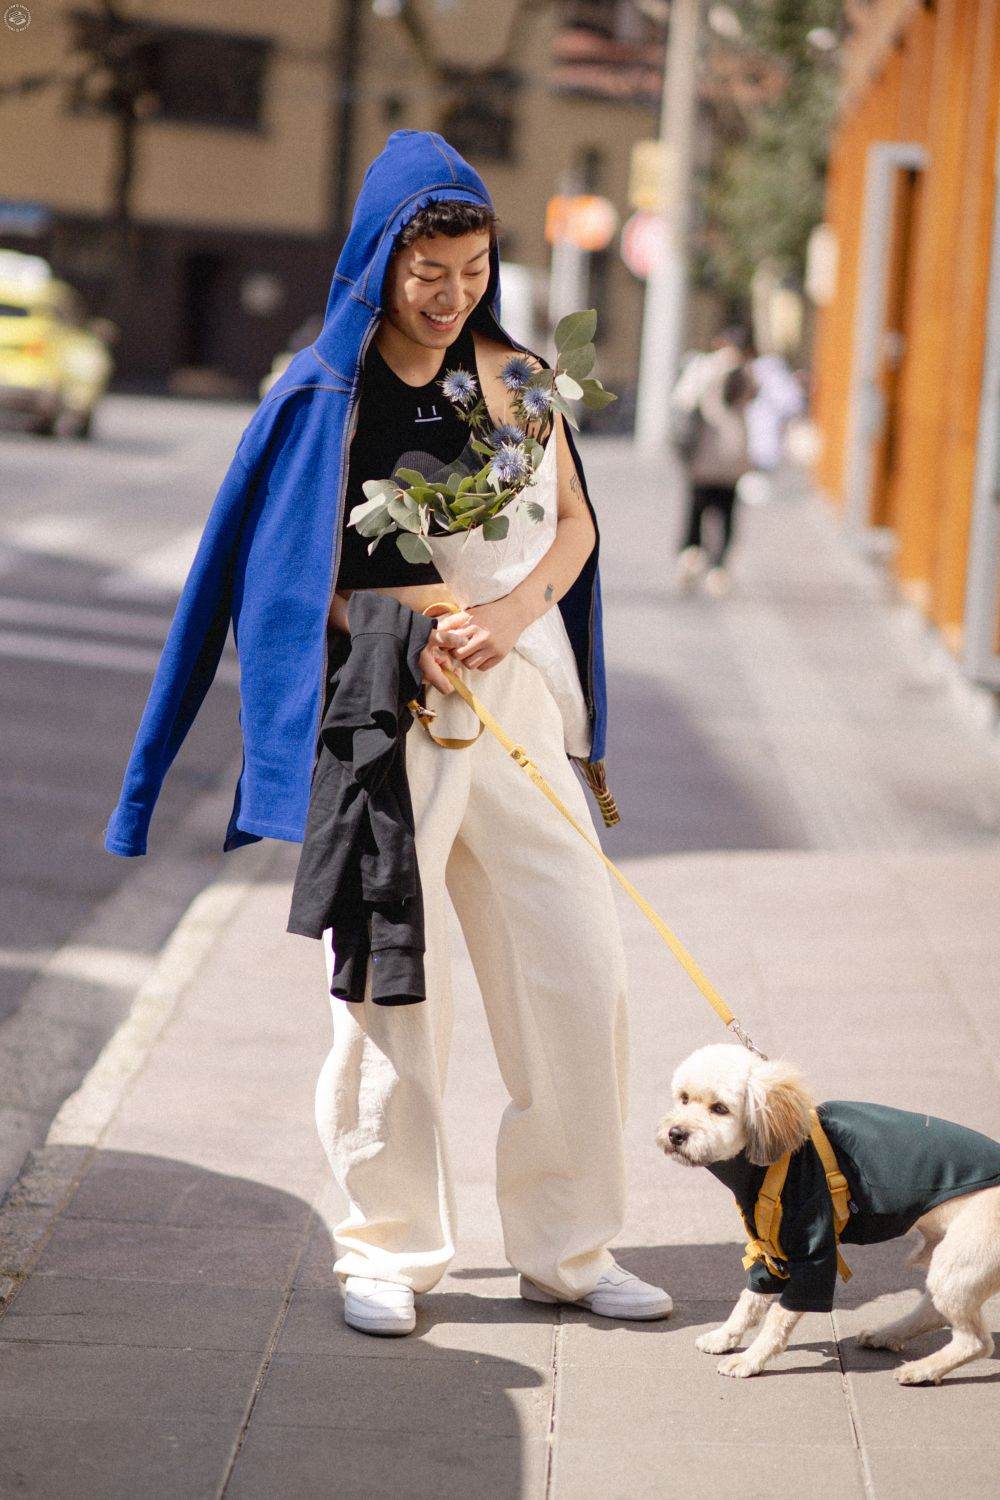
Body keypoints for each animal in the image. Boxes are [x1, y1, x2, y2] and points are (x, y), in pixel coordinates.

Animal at [656, 1043, 1000, 1384]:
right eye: (683, 1098)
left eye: (719, 1109)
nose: (675, 1133)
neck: (778, 1161)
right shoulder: (770, 1250)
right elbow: (750, 1300)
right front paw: (725, 1336)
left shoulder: (813, 1252)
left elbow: (779, 1315)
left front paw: (752, 1359)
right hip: (948, 1260)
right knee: (934, 1311)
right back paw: (888, 1336)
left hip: (959, 1261)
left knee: (976, 1342)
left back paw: (922, 1369)